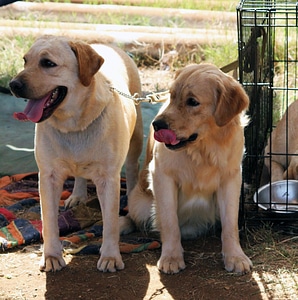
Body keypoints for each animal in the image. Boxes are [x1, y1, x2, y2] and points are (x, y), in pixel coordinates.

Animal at [9, 35, 143, 272]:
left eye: (48, 63)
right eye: (25, 60)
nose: (13, 85)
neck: (73, 125)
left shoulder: (108, 179)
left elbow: (110, 223)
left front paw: (110, 256)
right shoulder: (48, 176)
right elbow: (49, 221)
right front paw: (52, 256)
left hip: (136, 139)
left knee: (133, 169)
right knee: (80, 175)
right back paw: (78, 195)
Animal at [120, 63, 253, 274]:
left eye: (192, 102)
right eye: (172, 96)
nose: (156, 125)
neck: (203, 149)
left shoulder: (231, 179)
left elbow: (230, 224)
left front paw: (235, 256)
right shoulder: (162, 176)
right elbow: (169, 221)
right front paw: (171, 256)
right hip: (139, 204)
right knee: (134, 217)